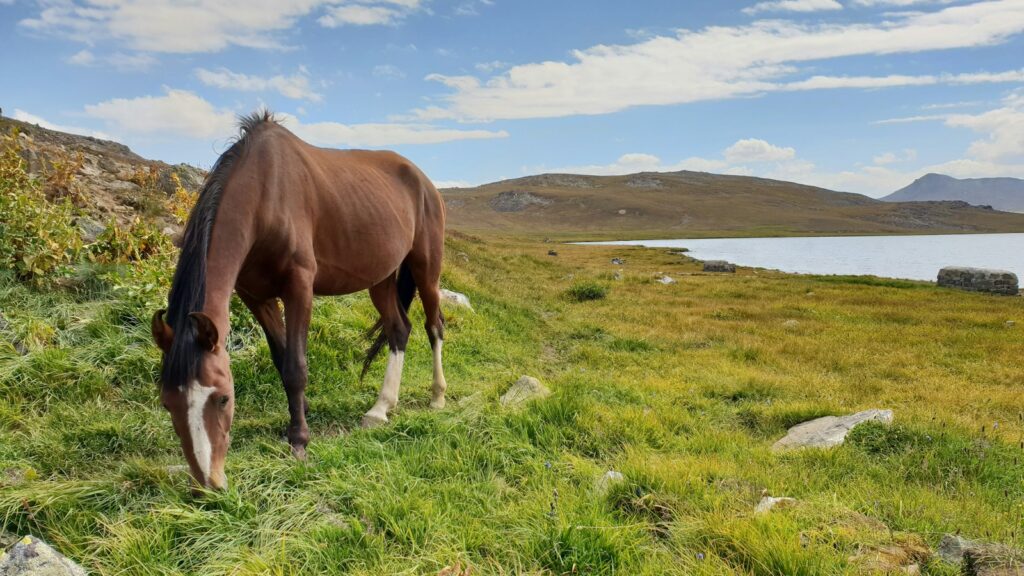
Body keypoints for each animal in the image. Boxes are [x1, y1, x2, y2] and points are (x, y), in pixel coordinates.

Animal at [150, 111, 448, 491]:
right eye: (167, 403)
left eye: (223, 397)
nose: (209, 484)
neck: (265, 195)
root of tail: (424, 182)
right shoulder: (256, 297)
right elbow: (282, 361)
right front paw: (298, 418)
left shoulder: (299, 288)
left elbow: (296, 367)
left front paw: (300, 441)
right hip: (381, 279)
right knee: (399, 330)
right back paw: (380, 409)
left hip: (426, 268)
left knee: (433, 326)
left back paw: (437, 396)